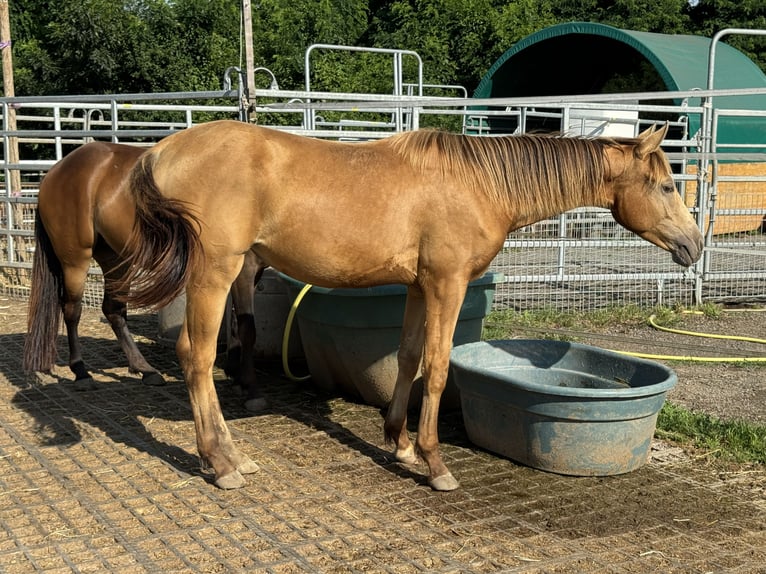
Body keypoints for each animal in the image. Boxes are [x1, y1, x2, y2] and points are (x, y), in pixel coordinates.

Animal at [22, 142, 268, 412]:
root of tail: (55, 172)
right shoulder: (242, 271)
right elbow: (247, 327)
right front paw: (252, 389)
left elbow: (234, 322)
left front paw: (237, 375)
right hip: (75, 260)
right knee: (72, 311)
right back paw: (82, 373)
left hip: (116, 259)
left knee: (113, 311)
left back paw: (145, 369)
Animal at [112, 120, 704, 490]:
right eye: (664, 185)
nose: (695, 245)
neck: (479, 183)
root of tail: (160, 151)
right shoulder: (447, 284)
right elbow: (438, 368)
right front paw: (434, 461)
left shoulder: (421, 287)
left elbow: (408, 358)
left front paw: (397, 442)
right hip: (214, 272)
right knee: (196, 356)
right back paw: (222, 462)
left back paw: (231, 456)